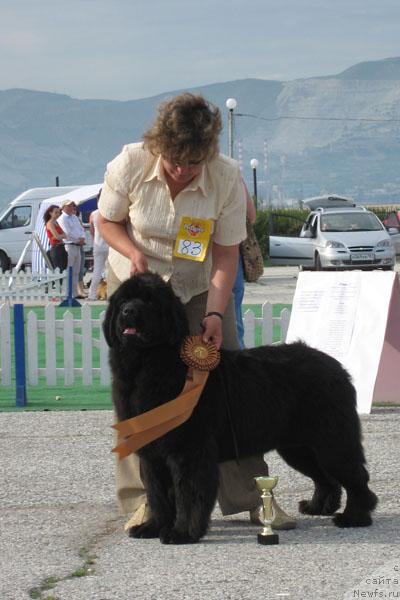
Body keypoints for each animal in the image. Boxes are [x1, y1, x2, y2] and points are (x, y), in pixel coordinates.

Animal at [104, 272, 378, 544]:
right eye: (123, 301)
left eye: (150, 301)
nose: (128, 311)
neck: (149, 366)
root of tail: (336, 366)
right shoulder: (152, 454)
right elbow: (157, 495)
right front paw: (152, 526)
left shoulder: (190, 451)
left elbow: (188, 495)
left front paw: (182, 533)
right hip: (299, 447)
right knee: (325, 476)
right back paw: (318, 506)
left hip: (332, 441)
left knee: (356, 476)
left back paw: (355, 517)